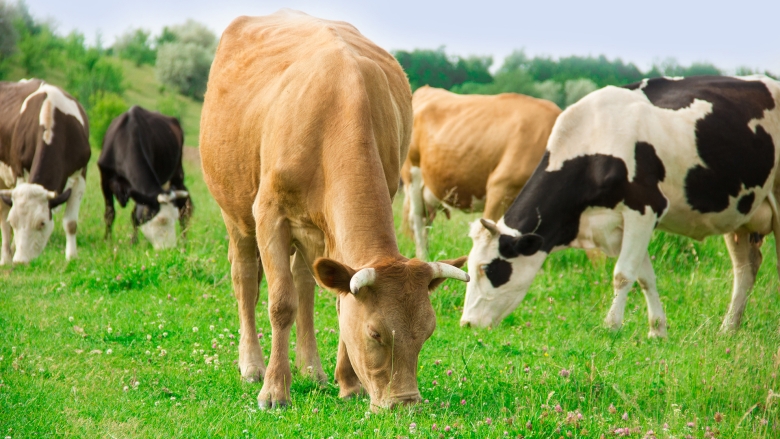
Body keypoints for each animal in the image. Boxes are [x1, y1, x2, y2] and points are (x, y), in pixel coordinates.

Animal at [0, 79, 90, 264]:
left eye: (41, 223)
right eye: (14, 222)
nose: (21, 261)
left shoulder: (80, 176)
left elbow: (71, 223)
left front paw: (71, 258)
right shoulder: (20, 173)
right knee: (2, 217)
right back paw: (5, 258)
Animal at [98, 105, 192, 249]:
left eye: (173, 218)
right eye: (160, 220)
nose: (169, 248)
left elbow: (135, 215)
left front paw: (133, 241)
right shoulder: (105, 179)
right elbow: (110, 213)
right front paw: (107, 240)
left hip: (178, 172)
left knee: (184, 209)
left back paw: (184, 240)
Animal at [200, 10, 469, 410]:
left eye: (427, 332)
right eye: (375, 333)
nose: (405, 402)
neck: (337, 109)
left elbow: (339, 301)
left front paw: (349, 384)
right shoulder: (270, 214)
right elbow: (280, 304)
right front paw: (274, 391)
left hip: (310, 232)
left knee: (304, 282)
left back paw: (312, 367)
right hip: (236, 212)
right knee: (246, 279)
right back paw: (251, 365)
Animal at [461, 75, 780, 337]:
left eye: (487, 268)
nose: (466, 323)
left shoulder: (644, 209)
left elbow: (623, 273)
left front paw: (611, 326)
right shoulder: (612, 227)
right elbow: (644, 276)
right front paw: (657, 330)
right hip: (742, 218)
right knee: (745, 269)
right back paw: (728, 328)